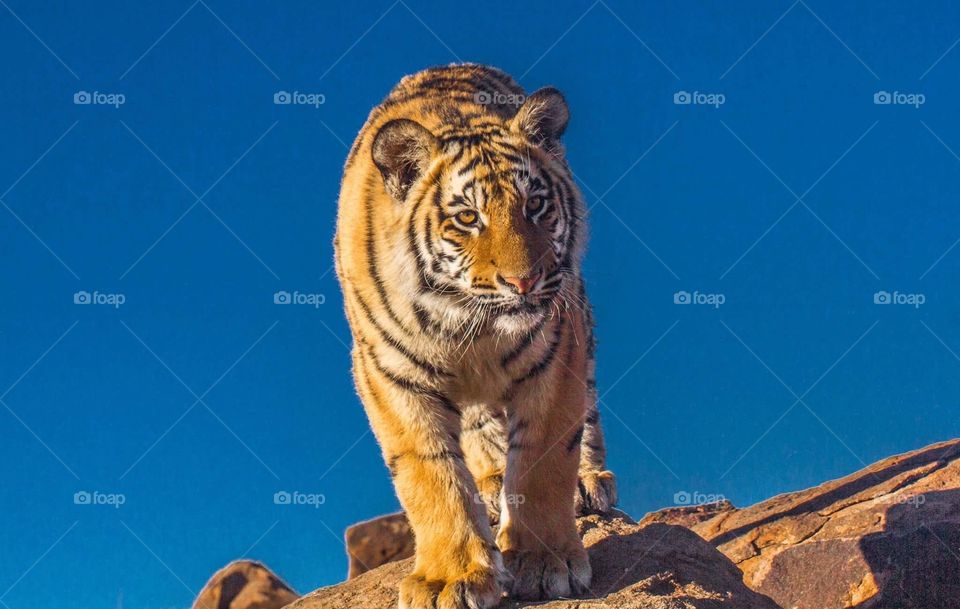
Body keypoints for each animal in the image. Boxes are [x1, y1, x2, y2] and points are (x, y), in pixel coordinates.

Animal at [334, 63, 616, 609]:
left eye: (536, 205)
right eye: (468, 217)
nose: (524, 281)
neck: (470, 326)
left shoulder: (557, 349)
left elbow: (544, 459)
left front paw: (545, 561)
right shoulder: (388, 373)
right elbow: (431, 477)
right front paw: (450, 577)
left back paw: (590, 481)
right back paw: (489, 482)